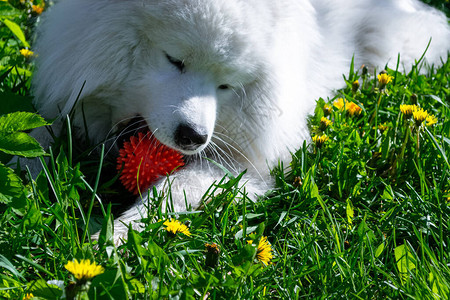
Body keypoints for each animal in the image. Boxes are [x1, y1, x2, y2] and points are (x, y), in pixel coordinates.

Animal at [29, 0, 448, 240]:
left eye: (226, 85)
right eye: (175, 60)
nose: (194, 136)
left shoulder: (239, 164)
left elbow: (174, 188)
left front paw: (120, 232)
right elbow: (36, 134)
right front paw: (31, 174)